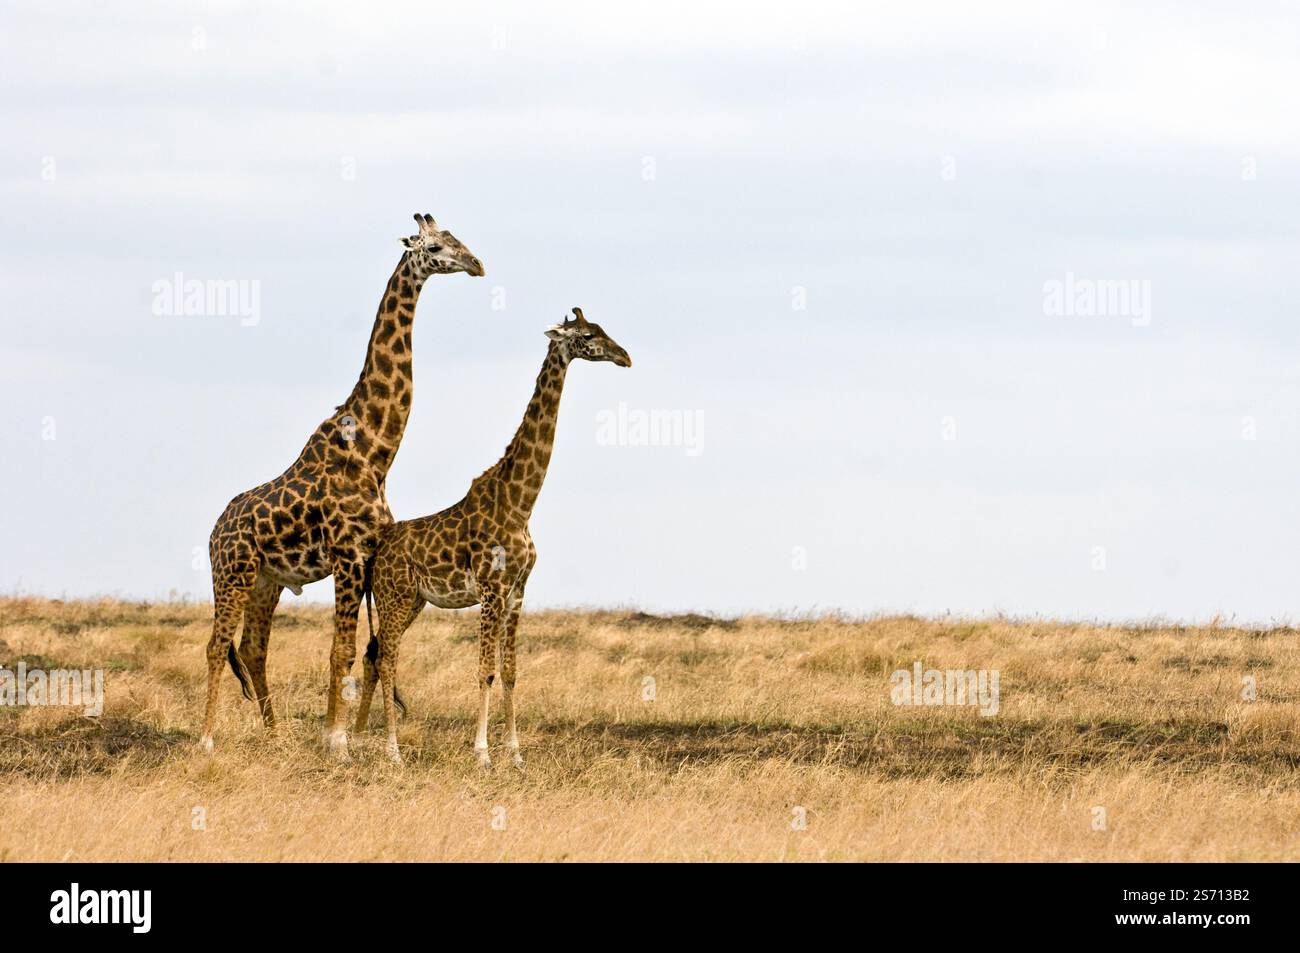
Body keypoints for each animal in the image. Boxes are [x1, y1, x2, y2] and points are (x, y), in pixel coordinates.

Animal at [201, 213, 484, 759]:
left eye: (459, 238)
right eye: (436, 247)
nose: (477, 264)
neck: (375, 452)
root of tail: (212, 533)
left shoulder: (370, 557)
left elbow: (365, 650)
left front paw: (345, 735)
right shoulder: (348, 555)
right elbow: (342, 649)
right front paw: (335, 741)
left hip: (266, 580)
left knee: (252, 649)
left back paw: (275, 736)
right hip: (232, 573)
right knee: (216, 645)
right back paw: (205, 739)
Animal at [355, 307, 631, 766]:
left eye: (604, 328)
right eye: (589, 335)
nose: (625, 356)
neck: (520, 504)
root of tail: (376, 551)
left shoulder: (518, 590)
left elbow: (511, 671)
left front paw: (515, 754)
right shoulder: (491, 588)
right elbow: (484, 670)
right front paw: (482, 753)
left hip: (412, 600)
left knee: (374, 655)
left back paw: (360, 740)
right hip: (395, 596)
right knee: (389, 658)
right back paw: (392, 751)